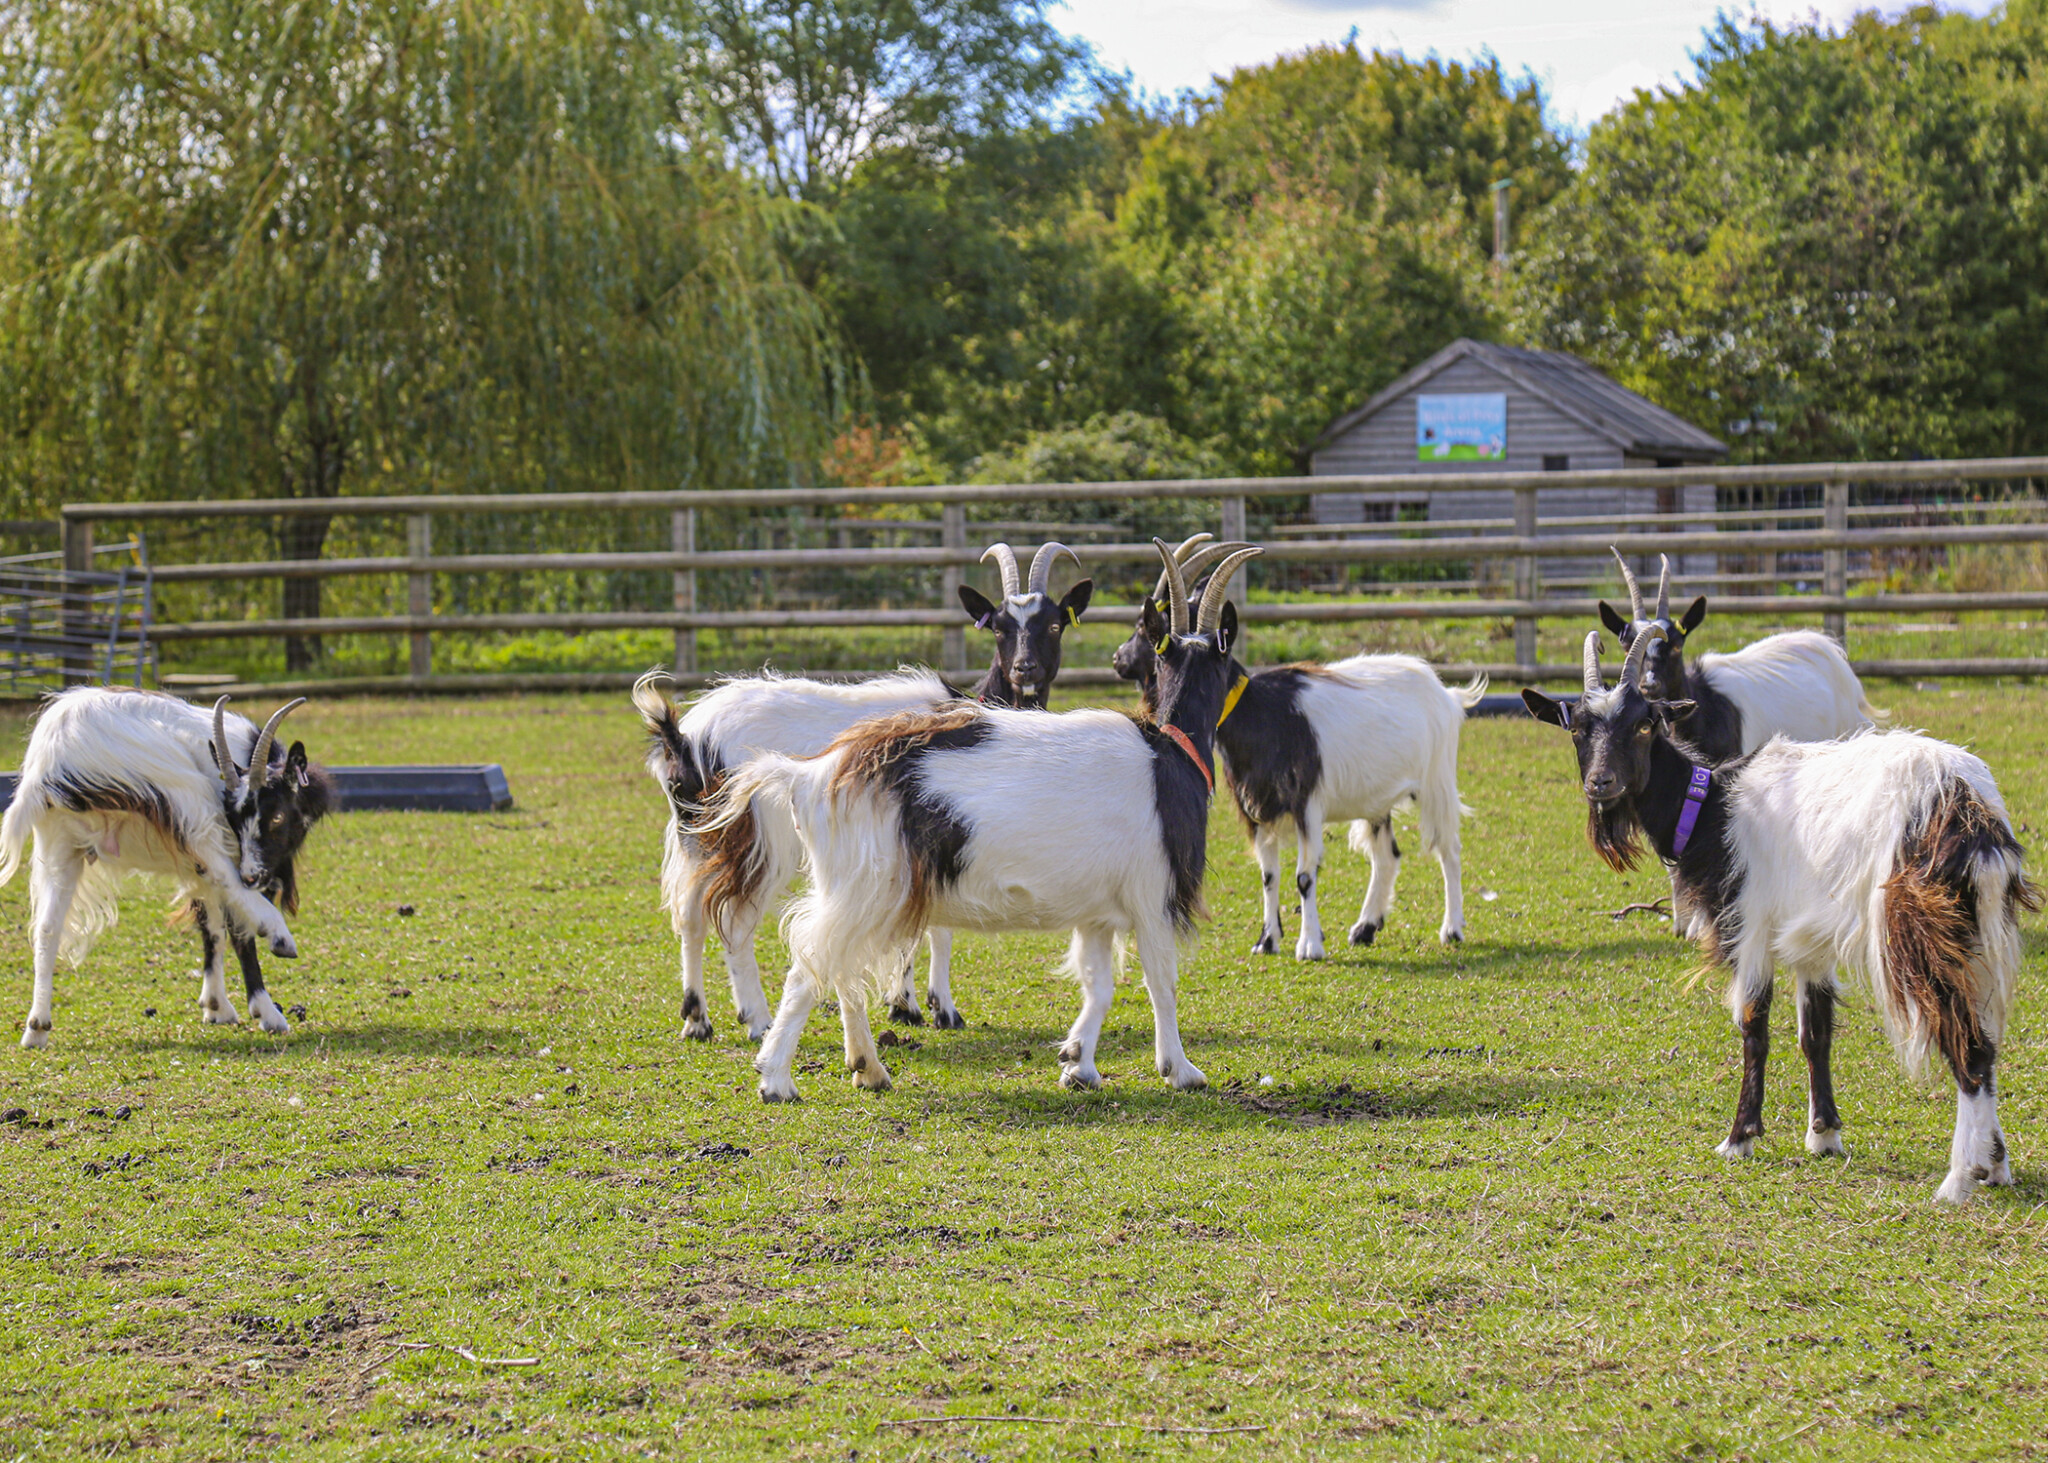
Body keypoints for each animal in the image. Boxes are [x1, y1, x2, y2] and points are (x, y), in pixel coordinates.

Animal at [0, 689, 332, 1047]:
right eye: (236, 816)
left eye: (276, 816)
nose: (252, 875)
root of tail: (54, 754)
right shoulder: (221, 841)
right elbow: (234, 923)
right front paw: (261, 1009)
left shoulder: (198, 864)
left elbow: (211, 925)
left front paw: (216, 1006)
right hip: (185, 798)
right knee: (227, 878)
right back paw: (280, 943)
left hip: (60, 843)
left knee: (47, 928)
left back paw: (36, 1027)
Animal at [633, 543, 1090, 1040]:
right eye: (1000, 627)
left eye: (1053, 624)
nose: (1025, 669)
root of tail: (684, 736)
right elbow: (930, 928)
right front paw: (921, 1006)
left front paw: (920, 1004)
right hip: (757, 840)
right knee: (733, 919)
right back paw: (757, 1019)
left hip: (700, 835)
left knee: (690, 913)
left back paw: (697, 1017)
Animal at [696, 539, 1259, 1101]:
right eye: (1227, 655)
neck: (1170, 752)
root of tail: (812, 774)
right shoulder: (1153, 894)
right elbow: (1161, 980)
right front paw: (1181, 1069)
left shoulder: (1098, 912)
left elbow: (1098, 985)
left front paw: (1078, 1063)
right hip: (867, 887)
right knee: (809, 963)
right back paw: (776, 1077)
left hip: (856, 888)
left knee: (840, 968)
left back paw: (868, 1067)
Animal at [1113, 535, 1484, 957]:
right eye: (1164, 653)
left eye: (1143, 628)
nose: (1118, 660)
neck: (1264, 715)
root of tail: (1446, 692)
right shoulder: (1255, 808)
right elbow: (1268, 875)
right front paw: (1267, 940)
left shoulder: (1307, 803)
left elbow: (1304, 876)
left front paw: (1309, 945)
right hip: (1376, 800)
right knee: (1387, 856)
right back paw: (1365, 928)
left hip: (1436, 779)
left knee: (1448, 847)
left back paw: (1452, 929)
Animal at [1526, 628, 2039, 1203]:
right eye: (1576, 728)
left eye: (1644, 723)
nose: (1602, 783)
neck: (1710, 808)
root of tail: (1969, 812)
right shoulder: (1810, 938)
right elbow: (1815, 1031)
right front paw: (1824, 1135)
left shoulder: (1748, 923)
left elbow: (1754, 1025)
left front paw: (1739, 1137)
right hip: (1980, 932)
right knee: (1988, 1040)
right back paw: (1995, 1163)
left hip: (1915, 930)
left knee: (1968, 1046)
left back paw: (1957, 1179)